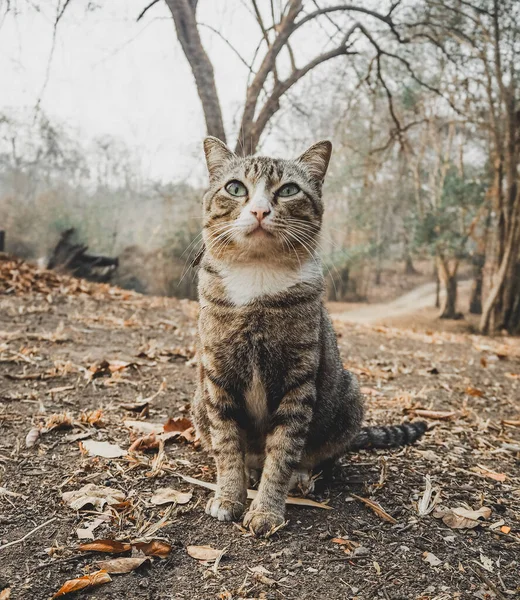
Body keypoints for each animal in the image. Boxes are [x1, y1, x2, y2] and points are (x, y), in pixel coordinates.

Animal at [192, 138, 426, 536]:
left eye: (288, 190)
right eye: (235, 188)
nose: (259, 210)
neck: (256, 280)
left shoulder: (298, 381)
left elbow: (284, 450)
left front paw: (267, 510)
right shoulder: (218, 377)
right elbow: (226, 445)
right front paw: (228, 497)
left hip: (348, 393)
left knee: (313, 456)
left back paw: (300, 477)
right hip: (198, 397)